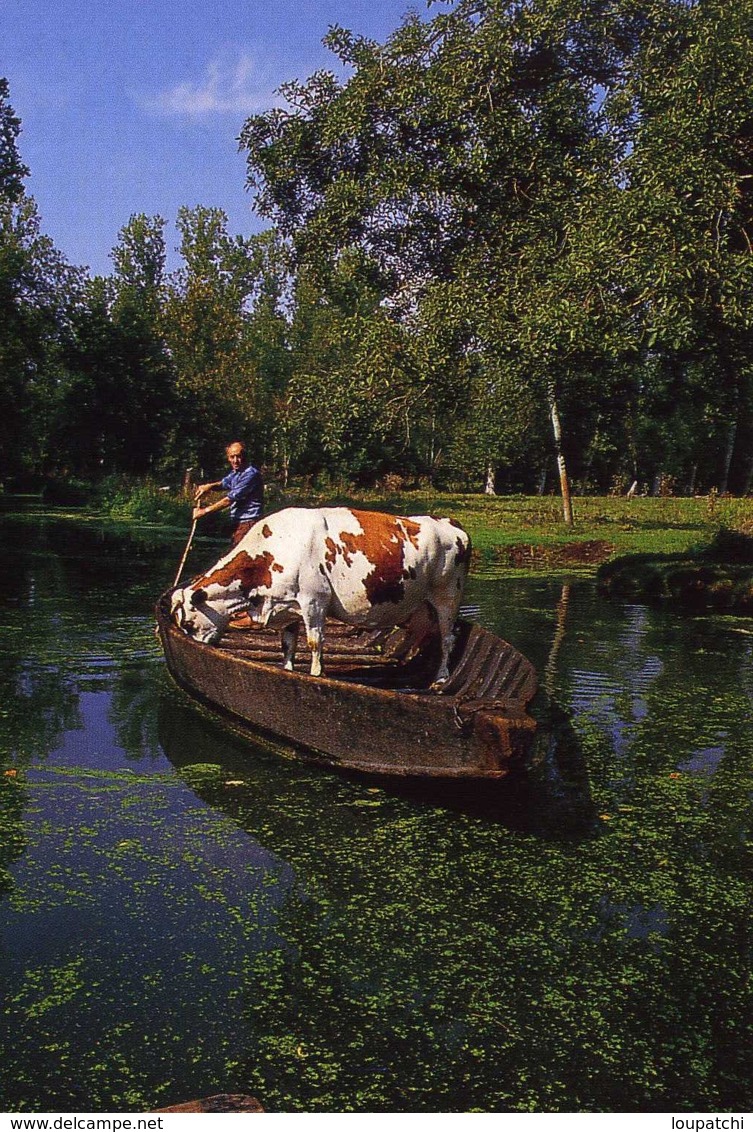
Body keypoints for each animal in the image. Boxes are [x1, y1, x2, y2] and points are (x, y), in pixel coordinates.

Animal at [173, 509, 473, 683]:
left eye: (188, 623)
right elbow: (288, 645)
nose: (195, 650)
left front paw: (317, 675)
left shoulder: (313, 602)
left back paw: (441, 679)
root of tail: (450, 521)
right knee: (420, 633)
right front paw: (288, 670)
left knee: (447, 639)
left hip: (448, 595)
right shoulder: (288, 607)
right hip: (420, 604)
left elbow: (314, 643)